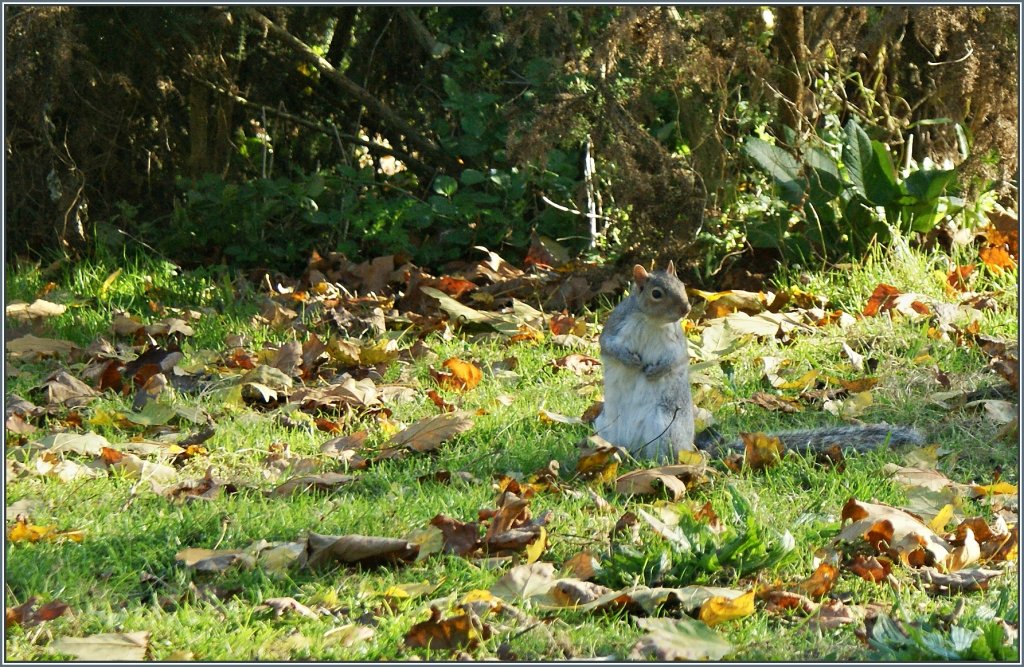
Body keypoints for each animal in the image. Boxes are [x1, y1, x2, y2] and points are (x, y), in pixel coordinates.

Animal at [598, 264, 925, 461]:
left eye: (681, 284)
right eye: (656, 293)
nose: (686, 308)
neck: (652, 322)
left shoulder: (675, 342)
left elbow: (676, 360)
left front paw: (655, 370)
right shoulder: (617, 325)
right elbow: (608, 347)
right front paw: (630, 360)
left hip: (665, 427)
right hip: (605, 425)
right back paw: (615, 454)